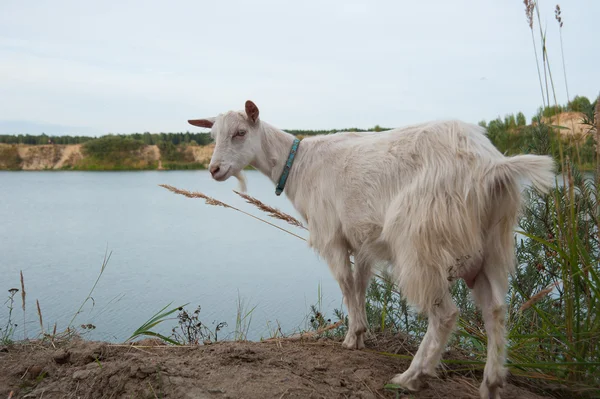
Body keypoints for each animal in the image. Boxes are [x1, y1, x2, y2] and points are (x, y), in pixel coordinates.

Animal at [190, 101, 556, 399]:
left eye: (240, 133)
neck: (300, 165)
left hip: (419, 240)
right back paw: (491, 383)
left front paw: (351, 338)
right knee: (495, 310)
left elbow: (345, 284)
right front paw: (362, 335)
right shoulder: (363, 240)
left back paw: (411, 376)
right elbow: (361, 285)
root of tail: (490, 165)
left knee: (446, 314)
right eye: (213, 136)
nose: (214, 170)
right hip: (491, 245)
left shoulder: (332, 236)